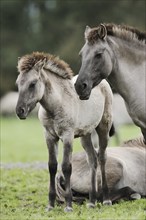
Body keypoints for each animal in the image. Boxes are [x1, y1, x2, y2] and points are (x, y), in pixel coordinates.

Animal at [16, 51, 114, 211]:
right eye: (18, 84)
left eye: (32, 84)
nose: (20, 111)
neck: (56, 105)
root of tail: (102, 82)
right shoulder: (49, 136)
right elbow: (52, 166)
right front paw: (50, 205)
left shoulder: (67, 136)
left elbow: (66, 167)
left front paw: (68, 205)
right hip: (85, 135)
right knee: (92, 160)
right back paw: (92, 201)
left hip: (103, 128)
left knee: (102, 157)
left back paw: (106, 199)